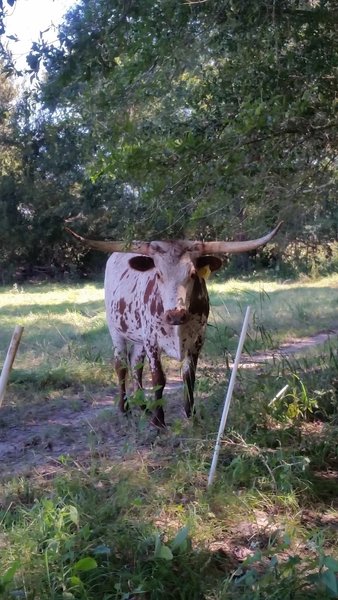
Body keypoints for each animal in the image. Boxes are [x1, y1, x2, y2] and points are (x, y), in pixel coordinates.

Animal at [67, 224, 282, 426]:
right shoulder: (152, 340)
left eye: (193, 273)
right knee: (121, 366)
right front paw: (159, 422)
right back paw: (125, 409)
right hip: (116, 331)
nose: (175, 315)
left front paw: (191, 415)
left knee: (136, 363)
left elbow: (189, 376)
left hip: (139, 339)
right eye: (158, 274)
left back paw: (143, 406)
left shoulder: (198, 339)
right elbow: (158, 379)